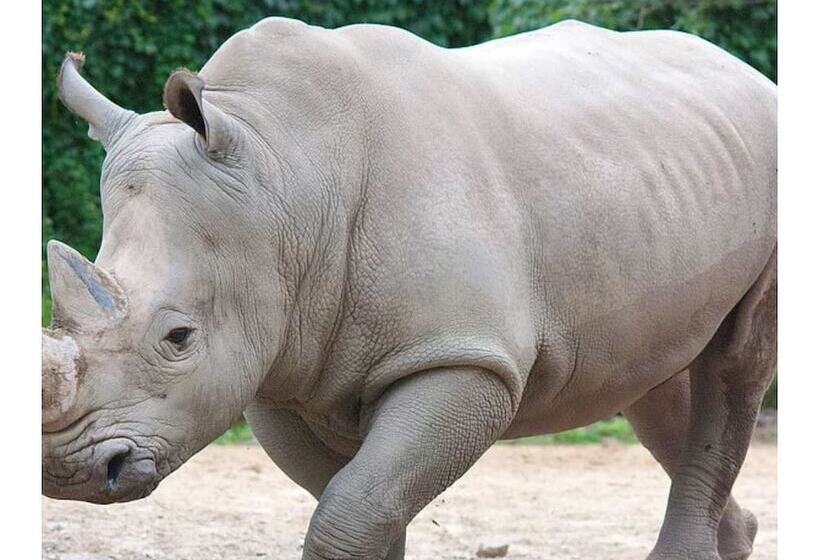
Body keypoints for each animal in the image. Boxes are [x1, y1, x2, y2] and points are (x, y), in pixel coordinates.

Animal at [42, 17, 776, 560]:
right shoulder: (277, 367)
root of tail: (748, 73)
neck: (283, 174)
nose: (69, 472)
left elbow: (350, 508)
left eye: (178, 337)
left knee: (734, 368)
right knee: (652, 381)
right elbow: (359, 504)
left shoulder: (462, 357)